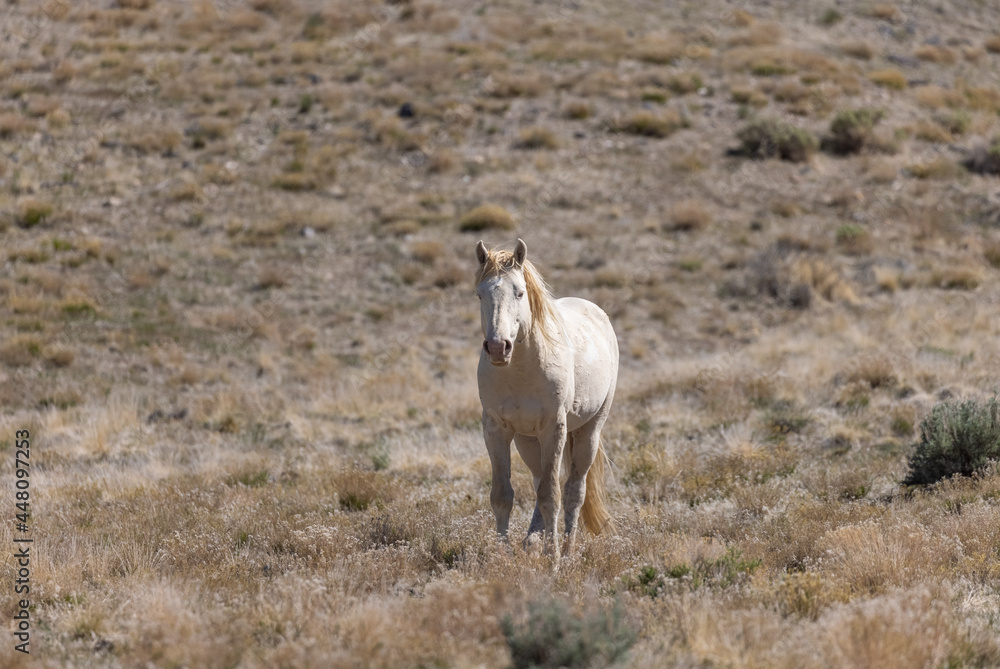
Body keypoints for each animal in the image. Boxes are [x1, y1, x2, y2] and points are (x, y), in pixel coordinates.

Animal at [474, 238, 618, 558]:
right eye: (480, 294)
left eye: (519, 291)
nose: (498, 347)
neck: (521, 369)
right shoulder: (495, 430)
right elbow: (502, 495)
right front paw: (503, 556)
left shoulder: (554, 428)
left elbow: (552, 495)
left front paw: (552, 558)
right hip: (528, 440)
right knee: (540, 480)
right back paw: (532, 540)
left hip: (589, 431)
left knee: (574, 490)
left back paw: (565, 548)